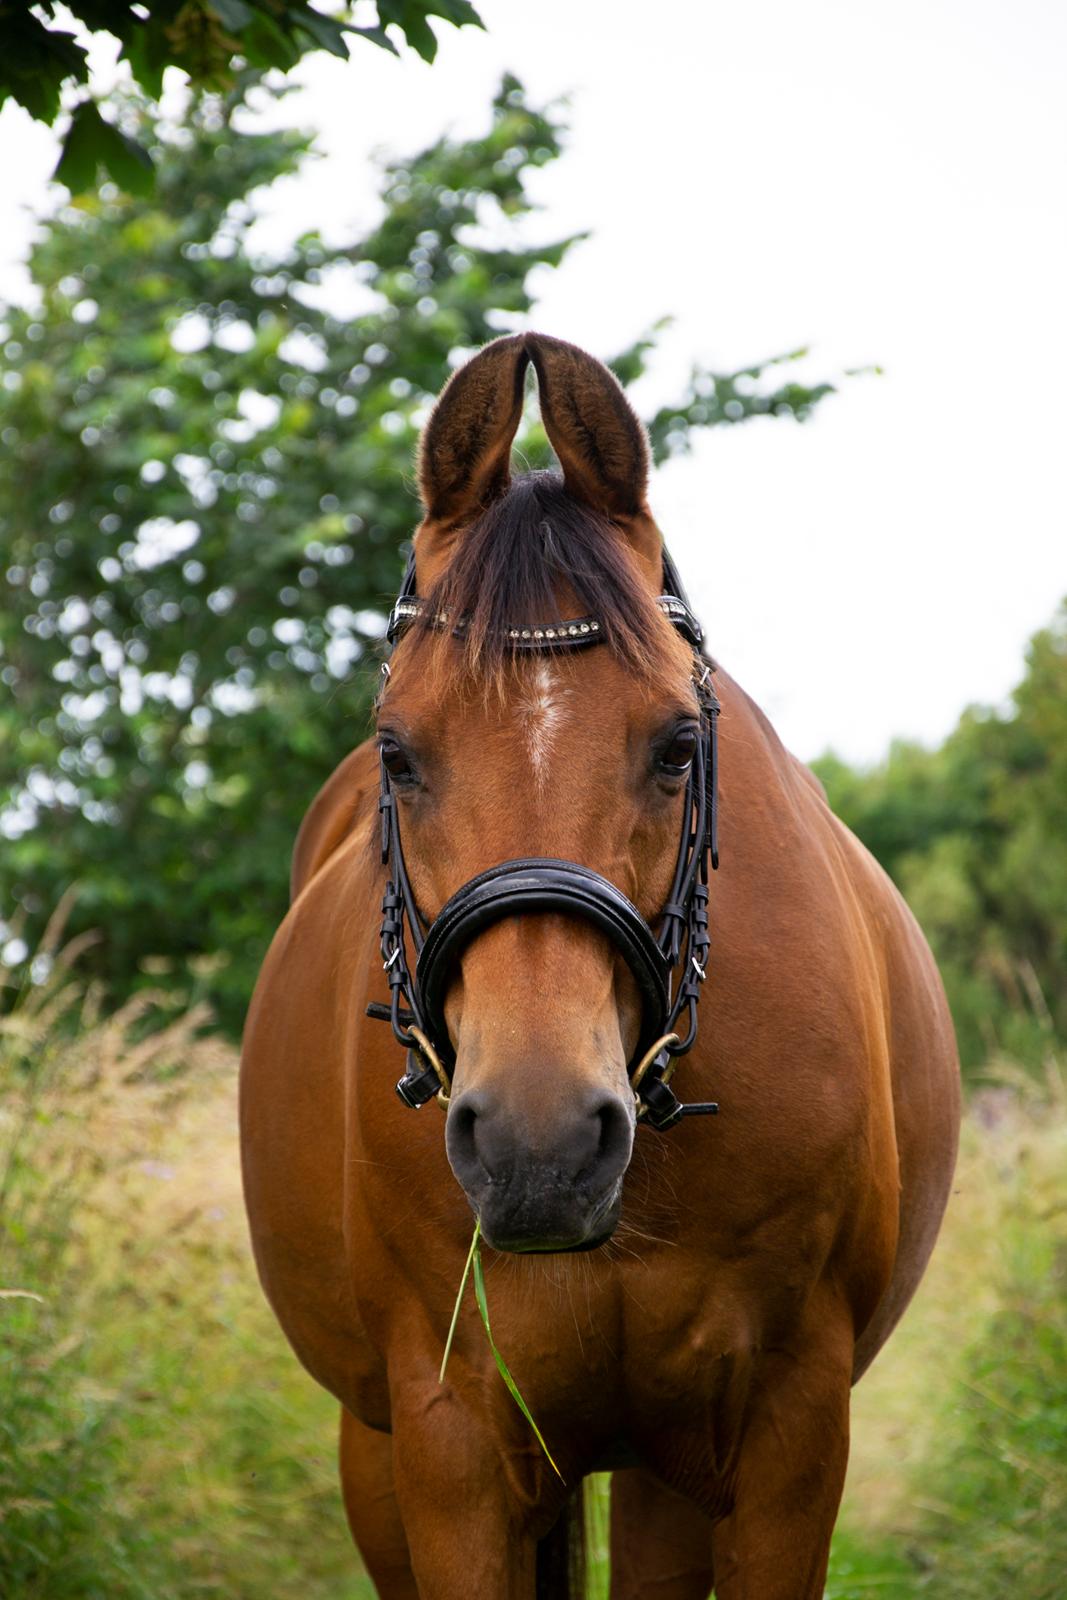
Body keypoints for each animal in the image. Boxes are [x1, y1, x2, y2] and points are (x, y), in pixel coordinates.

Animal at [241, 331, 959, 1593]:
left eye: (675, 744)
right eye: (397, 753)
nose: (539, 1144)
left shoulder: (789, 1434)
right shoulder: (449, 1451)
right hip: (375, 1446)